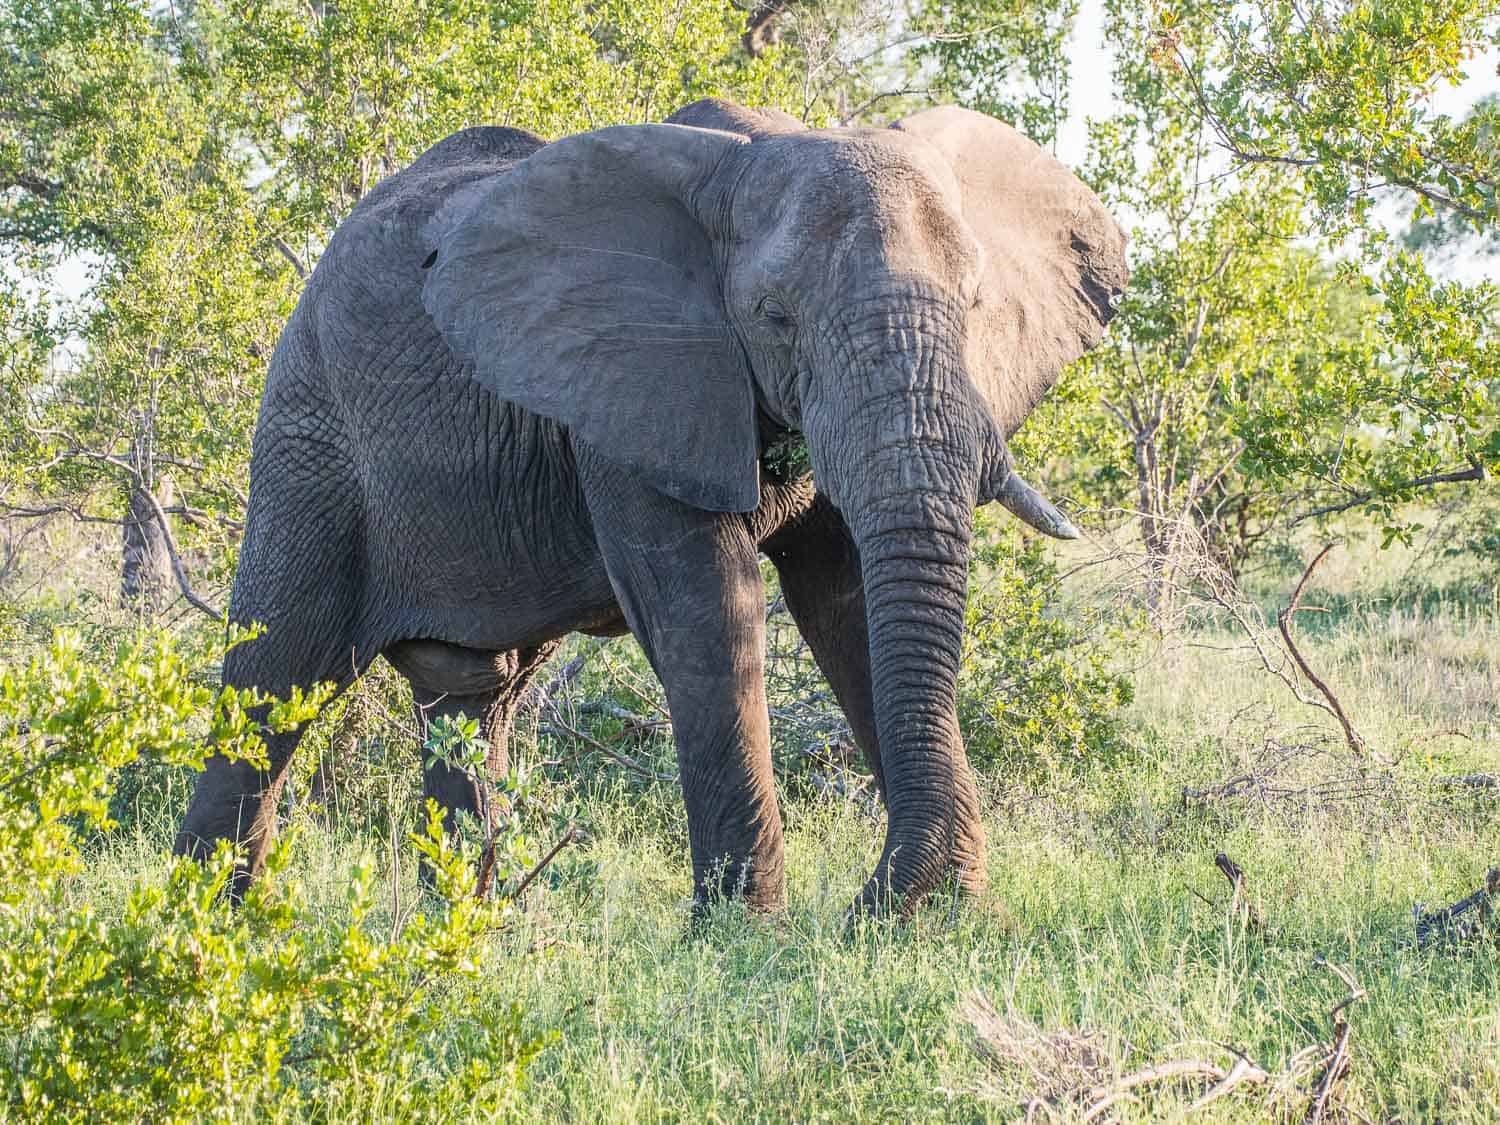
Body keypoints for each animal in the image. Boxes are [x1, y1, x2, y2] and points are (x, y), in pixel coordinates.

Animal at [172, 99, 1128, 918]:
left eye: (975, 305)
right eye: (773, 315)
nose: (873, 901)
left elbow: (848, 600)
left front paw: (938, 913)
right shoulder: (625, 382)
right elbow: (710, 607)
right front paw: (746, 935)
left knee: (471, 697)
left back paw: (466, 937)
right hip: (310, 436)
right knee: (274, 676)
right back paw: (202, 930)